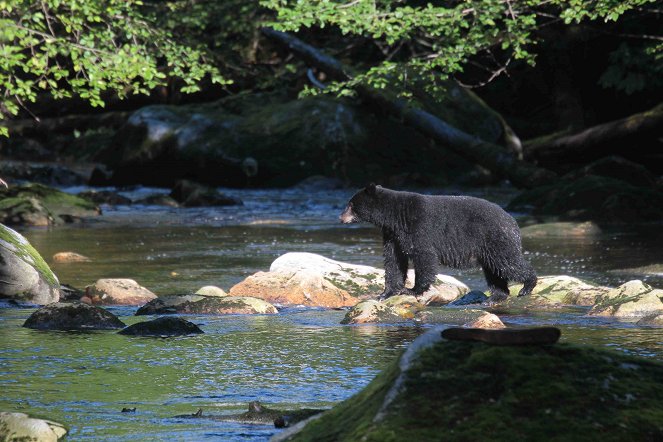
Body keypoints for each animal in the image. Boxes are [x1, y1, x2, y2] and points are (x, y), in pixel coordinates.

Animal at [340, 184, 536, 304]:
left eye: (351, 204)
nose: (341, 217)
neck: (396, 216)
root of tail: (512, 221)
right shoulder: (393, 235)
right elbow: (394, 261)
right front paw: (385, 293)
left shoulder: (420, 227)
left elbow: (424, 257)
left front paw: (412, 290)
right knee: (494, 270)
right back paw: (495, 297)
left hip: (494, 238)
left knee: (507, 263)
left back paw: (527, 286)